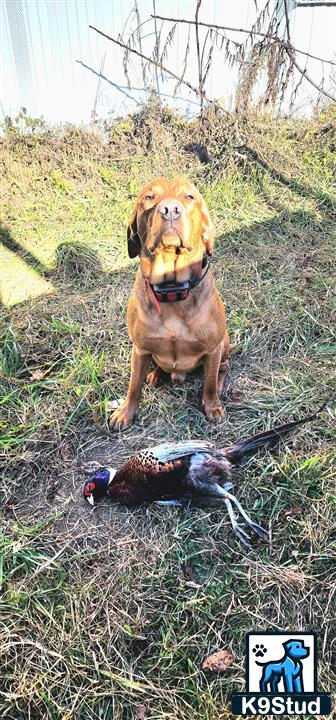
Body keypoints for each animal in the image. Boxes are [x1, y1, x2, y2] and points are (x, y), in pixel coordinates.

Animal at [109, 178, 230, 430]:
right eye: (149, 198)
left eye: (189, 197)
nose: (170, 210)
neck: (172, 289)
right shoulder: (140, 348)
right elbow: (134, 385)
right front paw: (126, 412)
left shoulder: (213, 349)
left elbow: (209, 383)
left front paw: (212, 406)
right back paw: (157, 375)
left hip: (224, 342)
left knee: (222, 370)